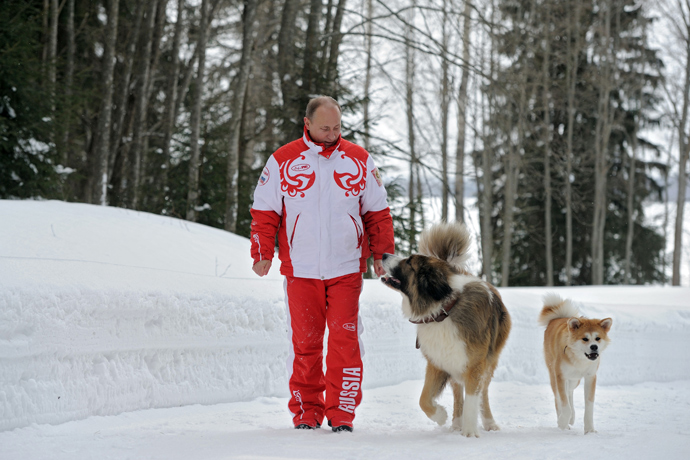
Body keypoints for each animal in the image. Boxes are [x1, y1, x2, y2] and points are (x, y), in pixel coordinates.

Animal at [378, 223, 508, 438]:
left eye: (409, 262)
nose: (383, 254)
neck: (444, 310)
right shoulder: (437, 361)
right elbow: (423, 398)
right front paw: (440, 416)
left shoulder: (475, 364)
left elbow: (473, 399)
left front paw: (470, 432)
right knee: (457, 393)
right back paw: (456, 423)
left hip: (489, 361)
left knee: (483, 393)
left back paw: (489, 423)